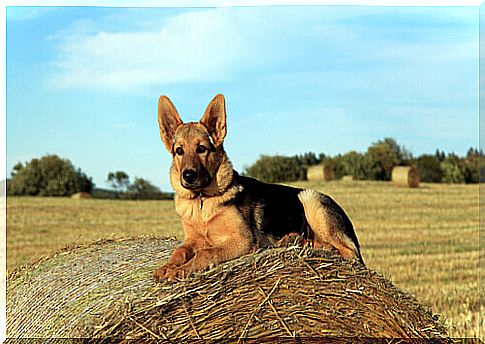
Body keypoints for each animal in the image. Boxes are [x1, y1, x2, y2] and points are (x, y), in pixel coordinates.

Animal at [153, 92, 362, 280]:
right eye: (179, 151)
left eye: (201, 149)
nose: (188, 176)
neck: (201, 201)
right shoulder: (192, 240)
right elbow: (179, 251)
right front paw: (167, 266)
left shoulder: (242, 240)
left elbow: (206, 253)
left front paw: (180, 270)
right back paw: (292, 240)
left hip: (309, 199)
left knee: (346, 252)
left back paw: (307, 243)